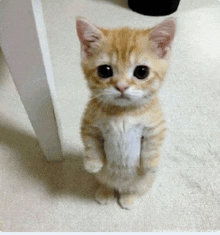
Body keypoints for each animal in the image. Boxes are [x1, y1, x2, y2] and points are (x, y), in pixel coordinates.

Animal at [76, 17, 176, 209]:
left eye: (141, 71)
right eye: (105, 70)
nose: (121, 86)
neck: (122, 113)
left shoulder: (155, 125)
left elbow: (153, 146)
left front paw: (151, 164)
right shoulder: (89, 123)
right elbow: (91, 144)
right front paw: (92, 163)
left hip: (143, 183)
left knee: (133, 189)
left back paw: (128, 198)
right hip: (104, 177)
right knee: (106, 183)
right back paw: (105, 192)